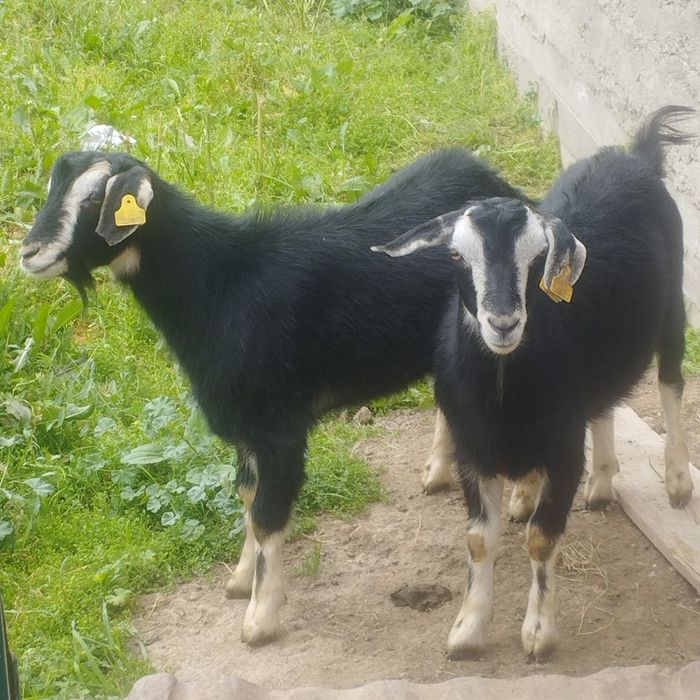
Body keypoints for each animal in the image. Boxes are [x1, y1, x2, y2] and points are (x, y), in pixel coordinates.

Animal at [20, 146, 528, 646]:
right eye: (53, 187)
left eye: (94, 199)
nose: (29, 252)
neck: (222, 283)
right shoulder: (245, 425)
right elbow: (248, 498)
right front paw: (242, 579)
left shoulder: (279, 426)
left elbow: (266, 514)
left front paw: (258, 620)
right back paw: (438, 471)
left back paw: (521, 497)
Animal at [373, 106, 695, 659]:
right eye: (456, 256)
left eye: (540, 257)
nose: (503, 323)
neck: (504, 392)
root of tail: (636, 158)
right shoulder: (472, 450)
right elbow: (479, 540)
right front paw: (467, 630)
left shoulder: (563, 450)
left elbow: (543, 538)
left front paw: (539, 632)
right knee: (605, 403)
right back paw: (600, 483)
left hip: (673, 306)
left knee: (672, 384)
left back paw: (676, 481)